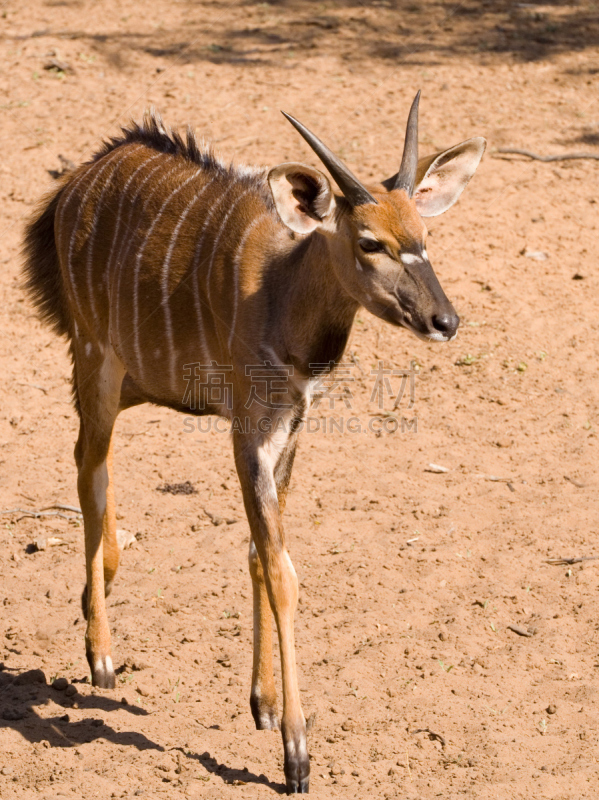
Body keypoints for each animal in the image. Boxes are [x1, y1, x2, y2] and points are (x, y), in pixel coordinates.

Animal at [24, 95, 488, 792]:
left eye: (423, 239)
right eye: (369, 242)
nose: (446, 321)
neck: (280, 293)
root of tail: (76, 181)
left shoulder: (289, 430)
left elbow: (257, 554)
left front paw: (264, 704)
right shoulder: (247, 431)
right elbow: (281, 570)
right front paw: (296, 753)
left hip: (131, 378)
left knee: (92, 461)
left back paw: (98, 585)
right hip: (94, 355)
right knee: (90, 470)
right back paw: (101, 655)